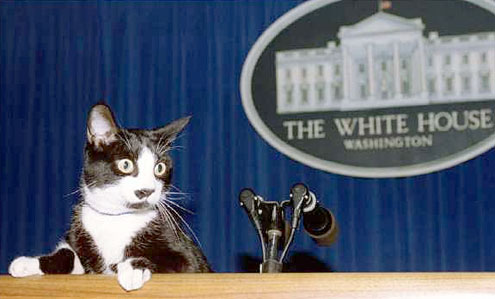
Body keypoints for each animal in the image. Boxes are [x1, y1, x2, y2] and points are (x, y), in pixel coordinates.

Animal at [8, 104, 212, 292]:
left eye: (159, 168)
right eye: (126, 164)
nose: (146, 191)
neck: (117, 218)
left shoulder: (190, 260)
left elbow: (173, 261)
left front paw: (133, 269)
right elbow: (68, 254)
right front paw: (27, 263)